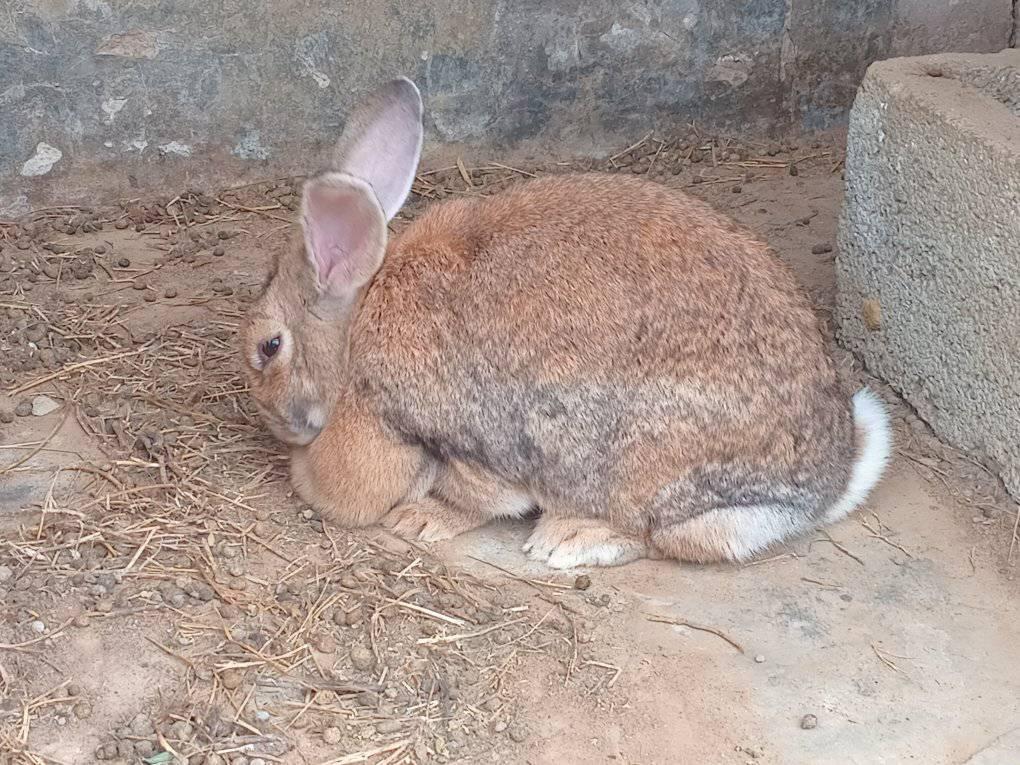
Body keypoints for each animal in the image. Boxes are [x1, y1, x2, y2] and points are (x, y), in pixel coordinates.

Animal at [241, 77, 892, 569]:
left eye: (269, 347)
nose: (269, 416)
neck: (355, 332)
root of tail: (829, 483)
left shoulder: (443, 433)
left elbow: (473, 495)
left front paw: (419, 520)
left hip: (639, 462)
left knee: (660, 535)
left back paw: (572, 539)